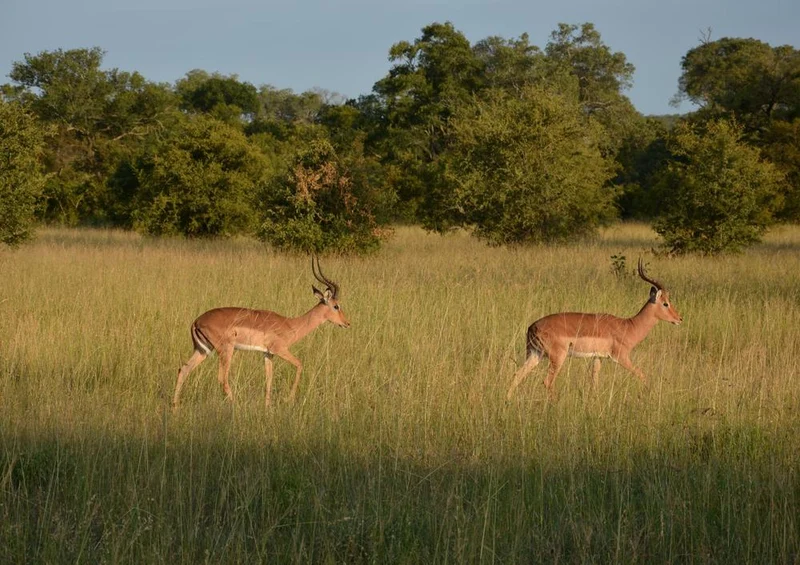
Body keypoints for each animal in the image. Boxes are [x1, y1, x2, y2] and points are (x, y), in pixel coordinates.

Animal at [173, 256, 350, 409]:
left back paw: (175, 407)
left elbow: (269, 379)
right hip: (226, 350)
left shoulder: (268, 354)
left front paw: (267, 407)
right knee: (222, 378)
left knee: (183, 369)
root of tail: (196, 321)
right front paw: (288, 400)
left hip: (203, 350)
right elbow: (300, 364)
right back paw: (235, 405)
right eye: (336, 306)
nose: (347, 323)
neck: (290, 325)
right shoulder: (280, 350)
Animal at [506, 259, 682, 400]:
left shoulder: (598, 357)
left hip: (535, 354)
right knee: (547, 381)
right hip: (557, 357)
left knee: (516, 375)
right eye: (665, 303)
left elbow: (594, 383)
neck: (628, 326)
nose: (679, 319)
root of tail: (532, 327)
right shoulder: (621, 357)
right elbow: (641, 374)